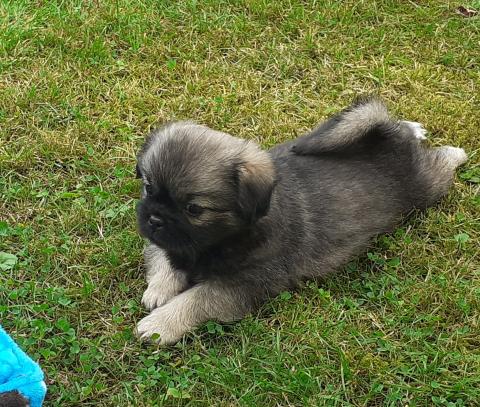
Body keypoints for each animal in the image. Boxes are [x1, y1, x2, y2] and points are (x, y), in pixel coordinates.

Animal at [133, 98, 466, 344]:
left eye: (193, 209)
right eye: (148, 187)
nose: (154, 218)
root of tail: (386, 137)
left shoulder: (240, 284)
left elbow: (194, 300)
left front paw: (159, 324)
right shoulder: (165, 244)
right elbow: (163, 258)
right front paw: (159, 291)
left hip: (427, 187)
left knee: (440, 164)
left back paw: (455, 152)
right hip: (333, 127)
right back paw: (413, 127)